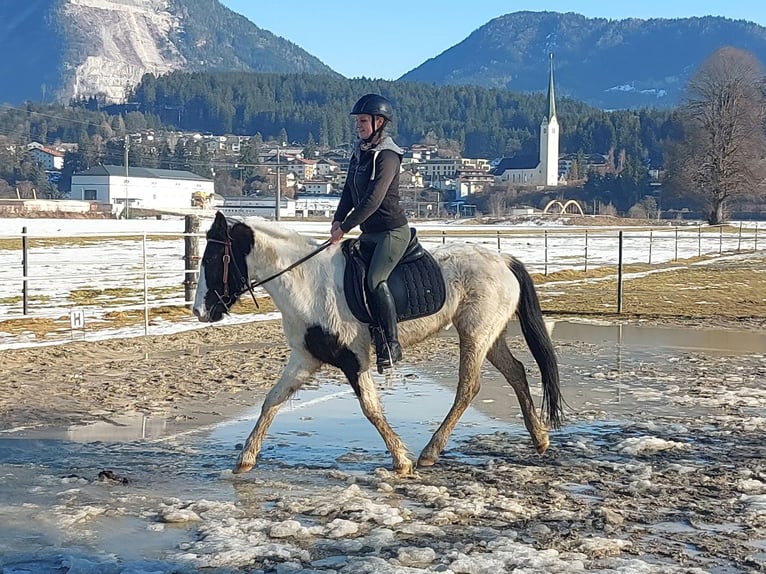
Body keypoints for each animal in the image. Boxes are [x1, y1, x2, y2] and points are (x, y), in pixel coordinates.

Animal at [193, 211, 563, 475]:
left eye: (211, 259)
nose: (200, 311)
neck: (307, 284)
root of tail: (502, 260)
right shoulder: (305, 357)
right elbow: (272, 400)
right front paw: (246, 458)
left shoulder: (353, 358)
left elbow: (370, 407)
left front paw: (401, 460)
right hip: (489, 334)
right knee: (516, 373)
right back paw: (540, 438)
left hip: (474, 333)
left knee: (469, 386)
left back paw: (430, 452)